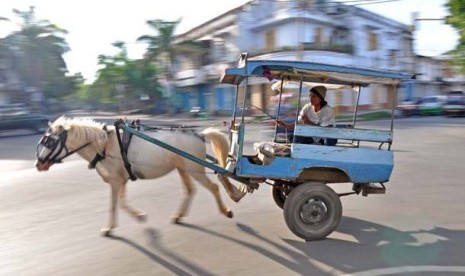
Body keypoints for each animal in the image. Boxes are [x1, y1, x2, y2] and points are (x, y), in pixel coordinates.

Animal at [34, 116, 245, 235]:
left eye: (49, 141)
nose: (38, 164)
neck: (103, 145)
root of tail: (199, 135)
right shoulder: (121, 180)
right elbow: (121, 203)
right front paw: (139, 216)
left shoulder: (115, 181)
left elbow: (114, 205)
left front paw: (109, 228)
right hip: (183, 168)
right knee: (190, 190)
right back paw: (178, 215)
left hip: (194, 168)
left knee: (214, 187)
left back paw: (226, 211)